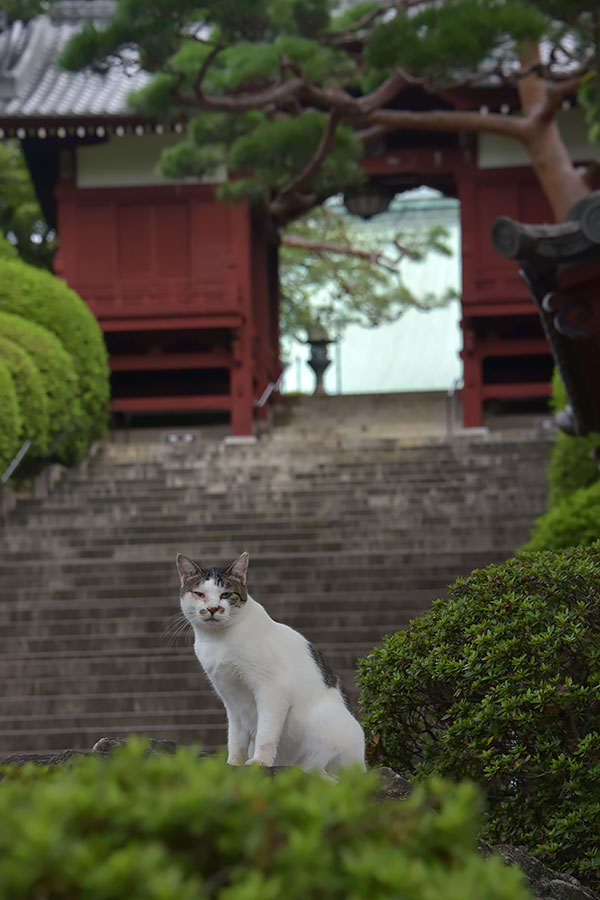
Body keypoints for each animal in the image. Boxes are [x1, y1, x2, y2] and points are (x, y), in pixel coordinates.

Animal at [176, 552, 366, 776]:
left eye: (226, 594)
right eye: (199, 594)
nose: (213, 609)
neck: (218, 641)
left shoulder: (273, 689)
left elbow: (266, 733)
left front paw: (260, 762)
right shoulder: (231, 698)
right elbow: (236, 738)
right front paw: (233, 763)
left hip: (325, 727)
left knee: (321, 773)